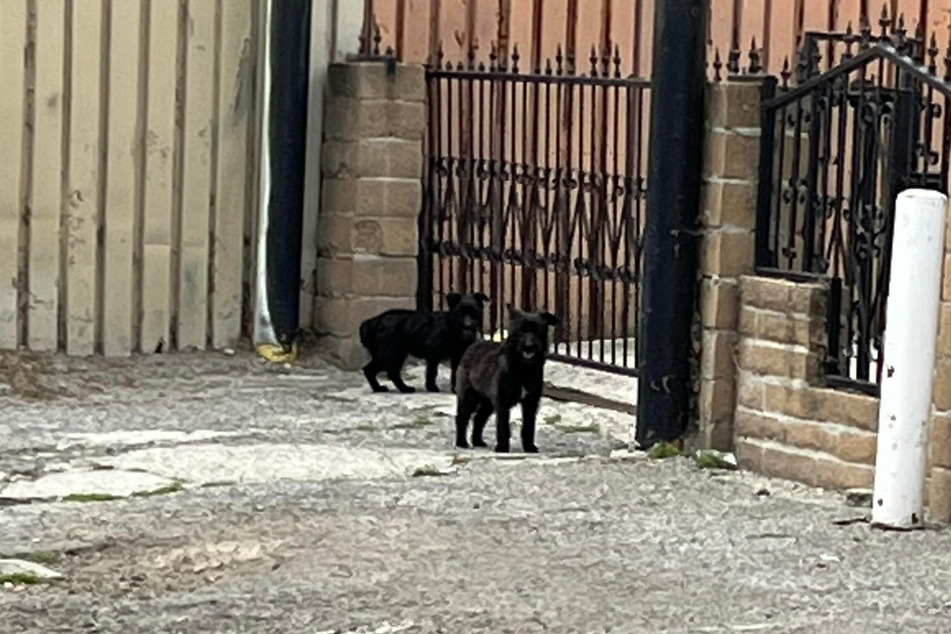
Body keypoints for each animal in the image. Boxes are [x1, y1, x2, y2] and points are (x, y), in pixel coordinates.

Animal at [358, 292, 490, 392]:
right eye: (460, 312)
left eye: (474, 312)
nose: (468, 326)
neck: (452, 328)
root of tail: (374, 321)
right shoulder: (433, 353)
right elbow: (432, 371)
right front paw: (431, 387)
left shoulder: (458, 355)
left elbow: (456, 372)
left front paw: (456, 389)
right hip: (390, 354)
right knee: (380, 370)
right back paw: (396, 388)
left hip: (391, 355)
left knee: (383, 371)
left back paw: (391, 388)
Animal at [452, 304, 556, 450]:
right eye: (521, 331)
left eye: (537, 331)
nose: (529, 347)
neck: (523, 368)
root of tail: (473, 345)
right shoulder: (502, 403)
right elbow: (503, 427)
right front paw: (502, 448)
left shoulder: (530, 402)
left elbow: (528, 427)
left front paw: (529, 447)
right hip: (469, 397)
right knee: (461, 418)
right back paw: (461, 443)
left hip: (487, 402)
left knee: (478, 419)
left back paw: (478, 441)